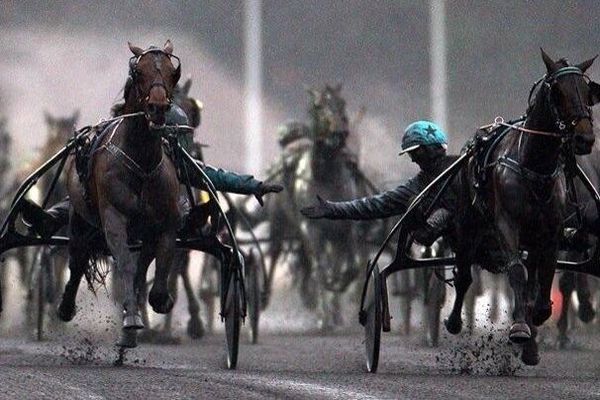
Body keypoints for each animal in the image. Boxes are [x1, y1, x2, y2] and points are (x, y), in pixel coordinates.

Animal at [61, 41, 184, 346]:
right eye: (138, 73)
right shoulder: (114, 217)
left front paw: (157, 301)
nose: (157, 107)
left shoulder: (163, 223)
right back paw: (66, 306)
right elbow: (126, 264)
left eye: (172, 72)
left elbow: (157, 265)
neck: (141, 162)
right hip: (80, 220)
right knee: (77, 258)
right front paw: (130, 320)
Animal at [446, 50, 600, 366]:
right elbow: (516, 271)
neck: (534, 165)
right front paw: (519, 328)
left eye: (586, 90)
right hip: (469, 222)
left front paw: (537, 319)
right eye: (558, 92)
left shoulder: (551, 231)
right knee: (465, 271)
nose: (585, 138)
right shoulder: (507, 223)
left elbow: (544, 279)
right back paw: (455, 320)